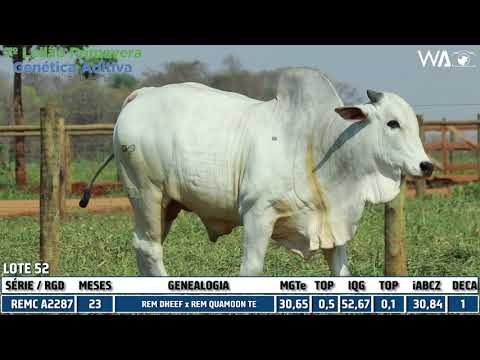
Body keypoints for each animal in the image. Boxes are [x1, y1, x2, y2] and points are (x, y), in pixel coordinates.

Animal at [80, 67, 434, 276]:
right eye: (392, 123)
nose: (426, 165)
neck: (320, 143)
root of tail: (142, 95)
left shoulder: (333, 225)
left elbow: (341, 275)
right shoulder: (257, 214)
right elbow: (251, 272)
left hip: (168, 204)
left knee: (146, 249)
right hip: (146, 193)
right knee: (149, 248)